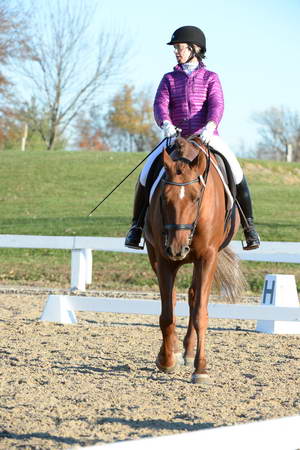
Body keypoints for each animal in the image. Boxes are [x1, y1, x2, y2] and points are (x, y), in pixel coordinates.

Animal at [144, 136, 245, 384]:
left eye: (197, 197)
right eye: (163, 198)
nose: (177, 248)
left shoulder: (208, 257)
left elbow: (200, 312)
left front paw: (201, 369)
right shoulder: (163, 259)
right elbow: (166, 315)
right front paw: (166, 361)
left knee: (192, 296)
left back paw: (189, 353)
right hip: (157, 256)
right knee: (172, 299)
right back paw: (171, 352)